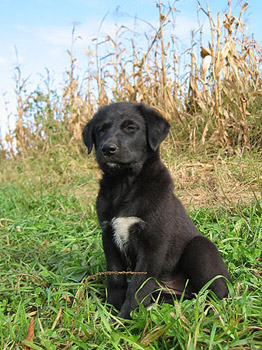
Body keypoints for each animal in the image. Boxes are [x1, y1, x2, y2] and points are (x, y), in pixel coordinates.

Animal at [82, 102, 231, 320]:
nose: (107, 149)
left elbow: (137, 286)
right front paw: (111, 309)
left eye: (131, 128)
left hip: (201, 248)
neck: (124, 185)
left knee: (218, 293)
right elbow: (115, 277)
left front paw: (124, 319)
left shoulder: (152, 242)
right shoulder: (108, 236)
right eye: (101, 130)